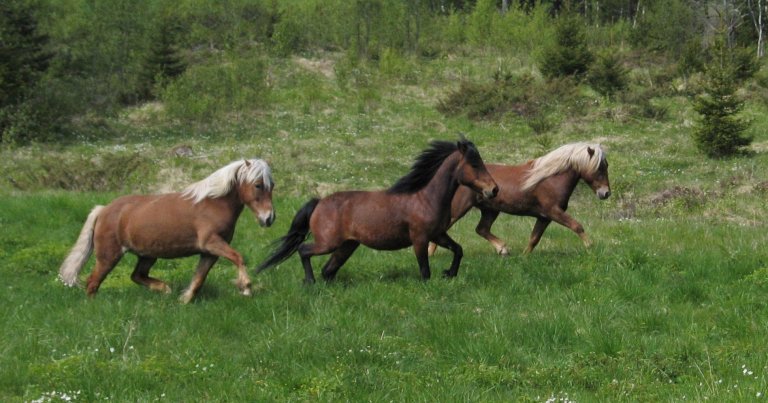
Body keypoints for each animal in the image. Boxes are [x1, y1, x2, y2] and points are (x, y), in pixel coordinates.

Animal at [60, 159, 276, 304]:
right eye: (258, 185)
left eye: (272, 185)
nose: (269, 218)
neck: (213, 204)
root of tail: (103, 210)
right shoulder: (211, 243)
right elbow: (238, 257)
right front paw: (246, 287)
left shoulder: (209, 253)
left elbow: (199, 278)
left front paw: (184, 299)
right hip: (109, 256)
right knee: (93, 282)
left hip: (147, 255)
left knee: (136, 276)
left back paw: (164, 289)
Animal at [256, 139, 498, 284]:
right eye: (475, 164)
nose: (494, 189)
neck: (426, 197)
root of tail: (319, 202)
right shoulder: (419, 238)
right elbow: (424, 270)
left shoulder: (438, 234)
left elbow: (458, 249)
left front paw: (449, 273)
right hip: (328, 243)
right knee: (304, 251)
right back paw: (310, 282)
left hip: (347, 246)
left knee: (328, 270)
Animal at [426, 142, 612, 256]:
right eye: (599, 167)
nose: (606, 193)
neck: (550, 178)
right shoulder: (553, 211)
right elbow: (577, 226)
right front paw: (590, 247)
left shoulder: (544, 217)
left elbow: (534, 239)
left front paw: (524, 256)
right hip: (460, 209)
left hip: (490, 210)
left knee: (481, 229)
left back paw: (503, 249)